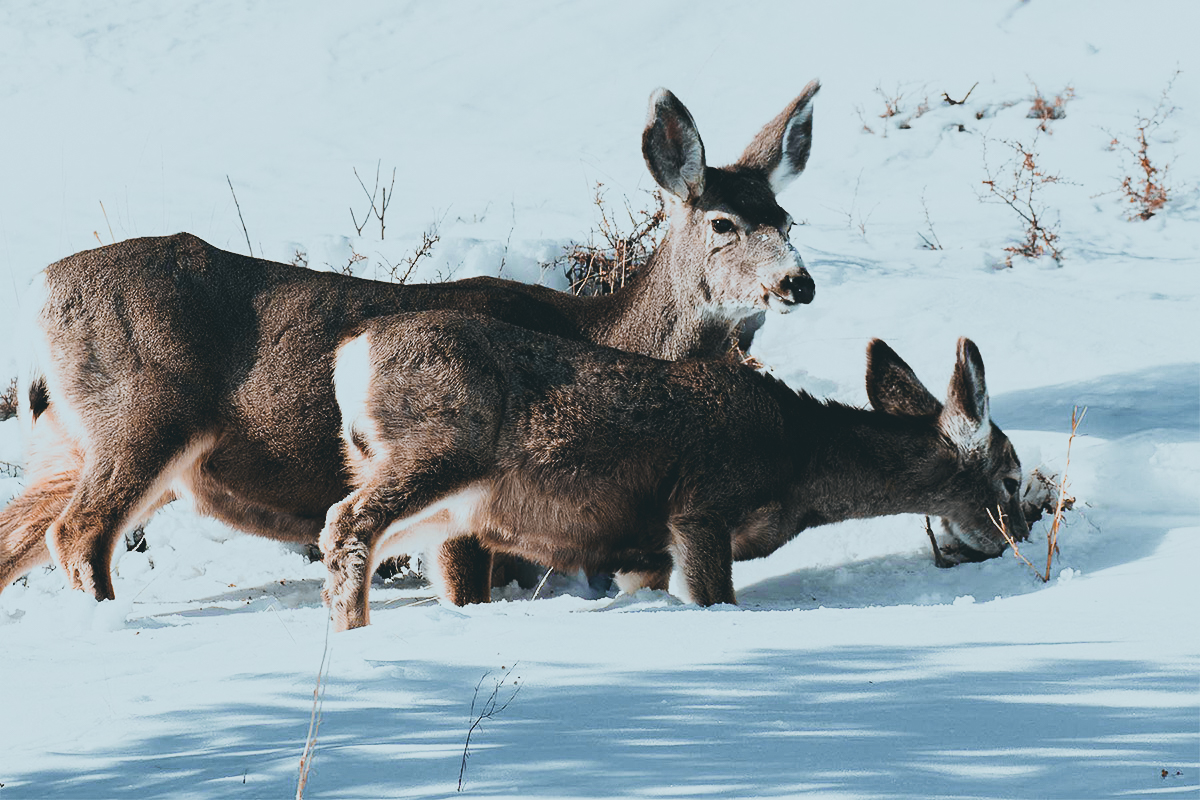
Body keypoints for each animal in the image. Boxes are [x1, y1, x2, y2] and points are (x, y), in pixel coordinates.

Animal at [0, 84, 820, 604]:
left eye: (787, 218)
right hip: (143, 413)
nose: (798, 283)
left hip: (61, 438)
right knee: (80, 535)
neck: (608, 333)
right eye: (722, 223)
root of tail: (37, 290)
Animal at [319, 311, 1022, 633]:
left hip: (435, 498)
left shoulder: (646, 549)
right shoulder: (701, 505)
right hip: (441, 445)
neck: (803, 465)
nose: (1015, 535)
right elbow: (716, 599)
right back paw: (353, 631)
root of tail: (351, 354)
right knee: (347, 521)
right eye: (1012, 477)